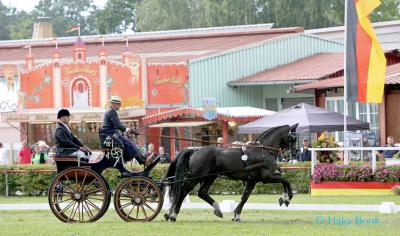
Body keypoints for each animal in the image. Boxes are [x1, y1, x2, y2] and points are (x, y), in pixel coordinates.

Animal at [162, 124, 296, 222]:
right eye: (292, 138)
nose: (291, 155)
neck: (263, 150)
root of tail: (194, 150)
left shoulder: (252, 180)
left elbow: (245, 197)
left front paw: (237, 215)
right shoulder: (265, 178)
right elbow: (286, 181)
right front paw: (286, 198)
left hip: (210, 177)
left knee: (202, 192)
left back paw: (217, 210)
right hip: (195, 177)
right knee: (184, 191)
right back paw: (173, 215)